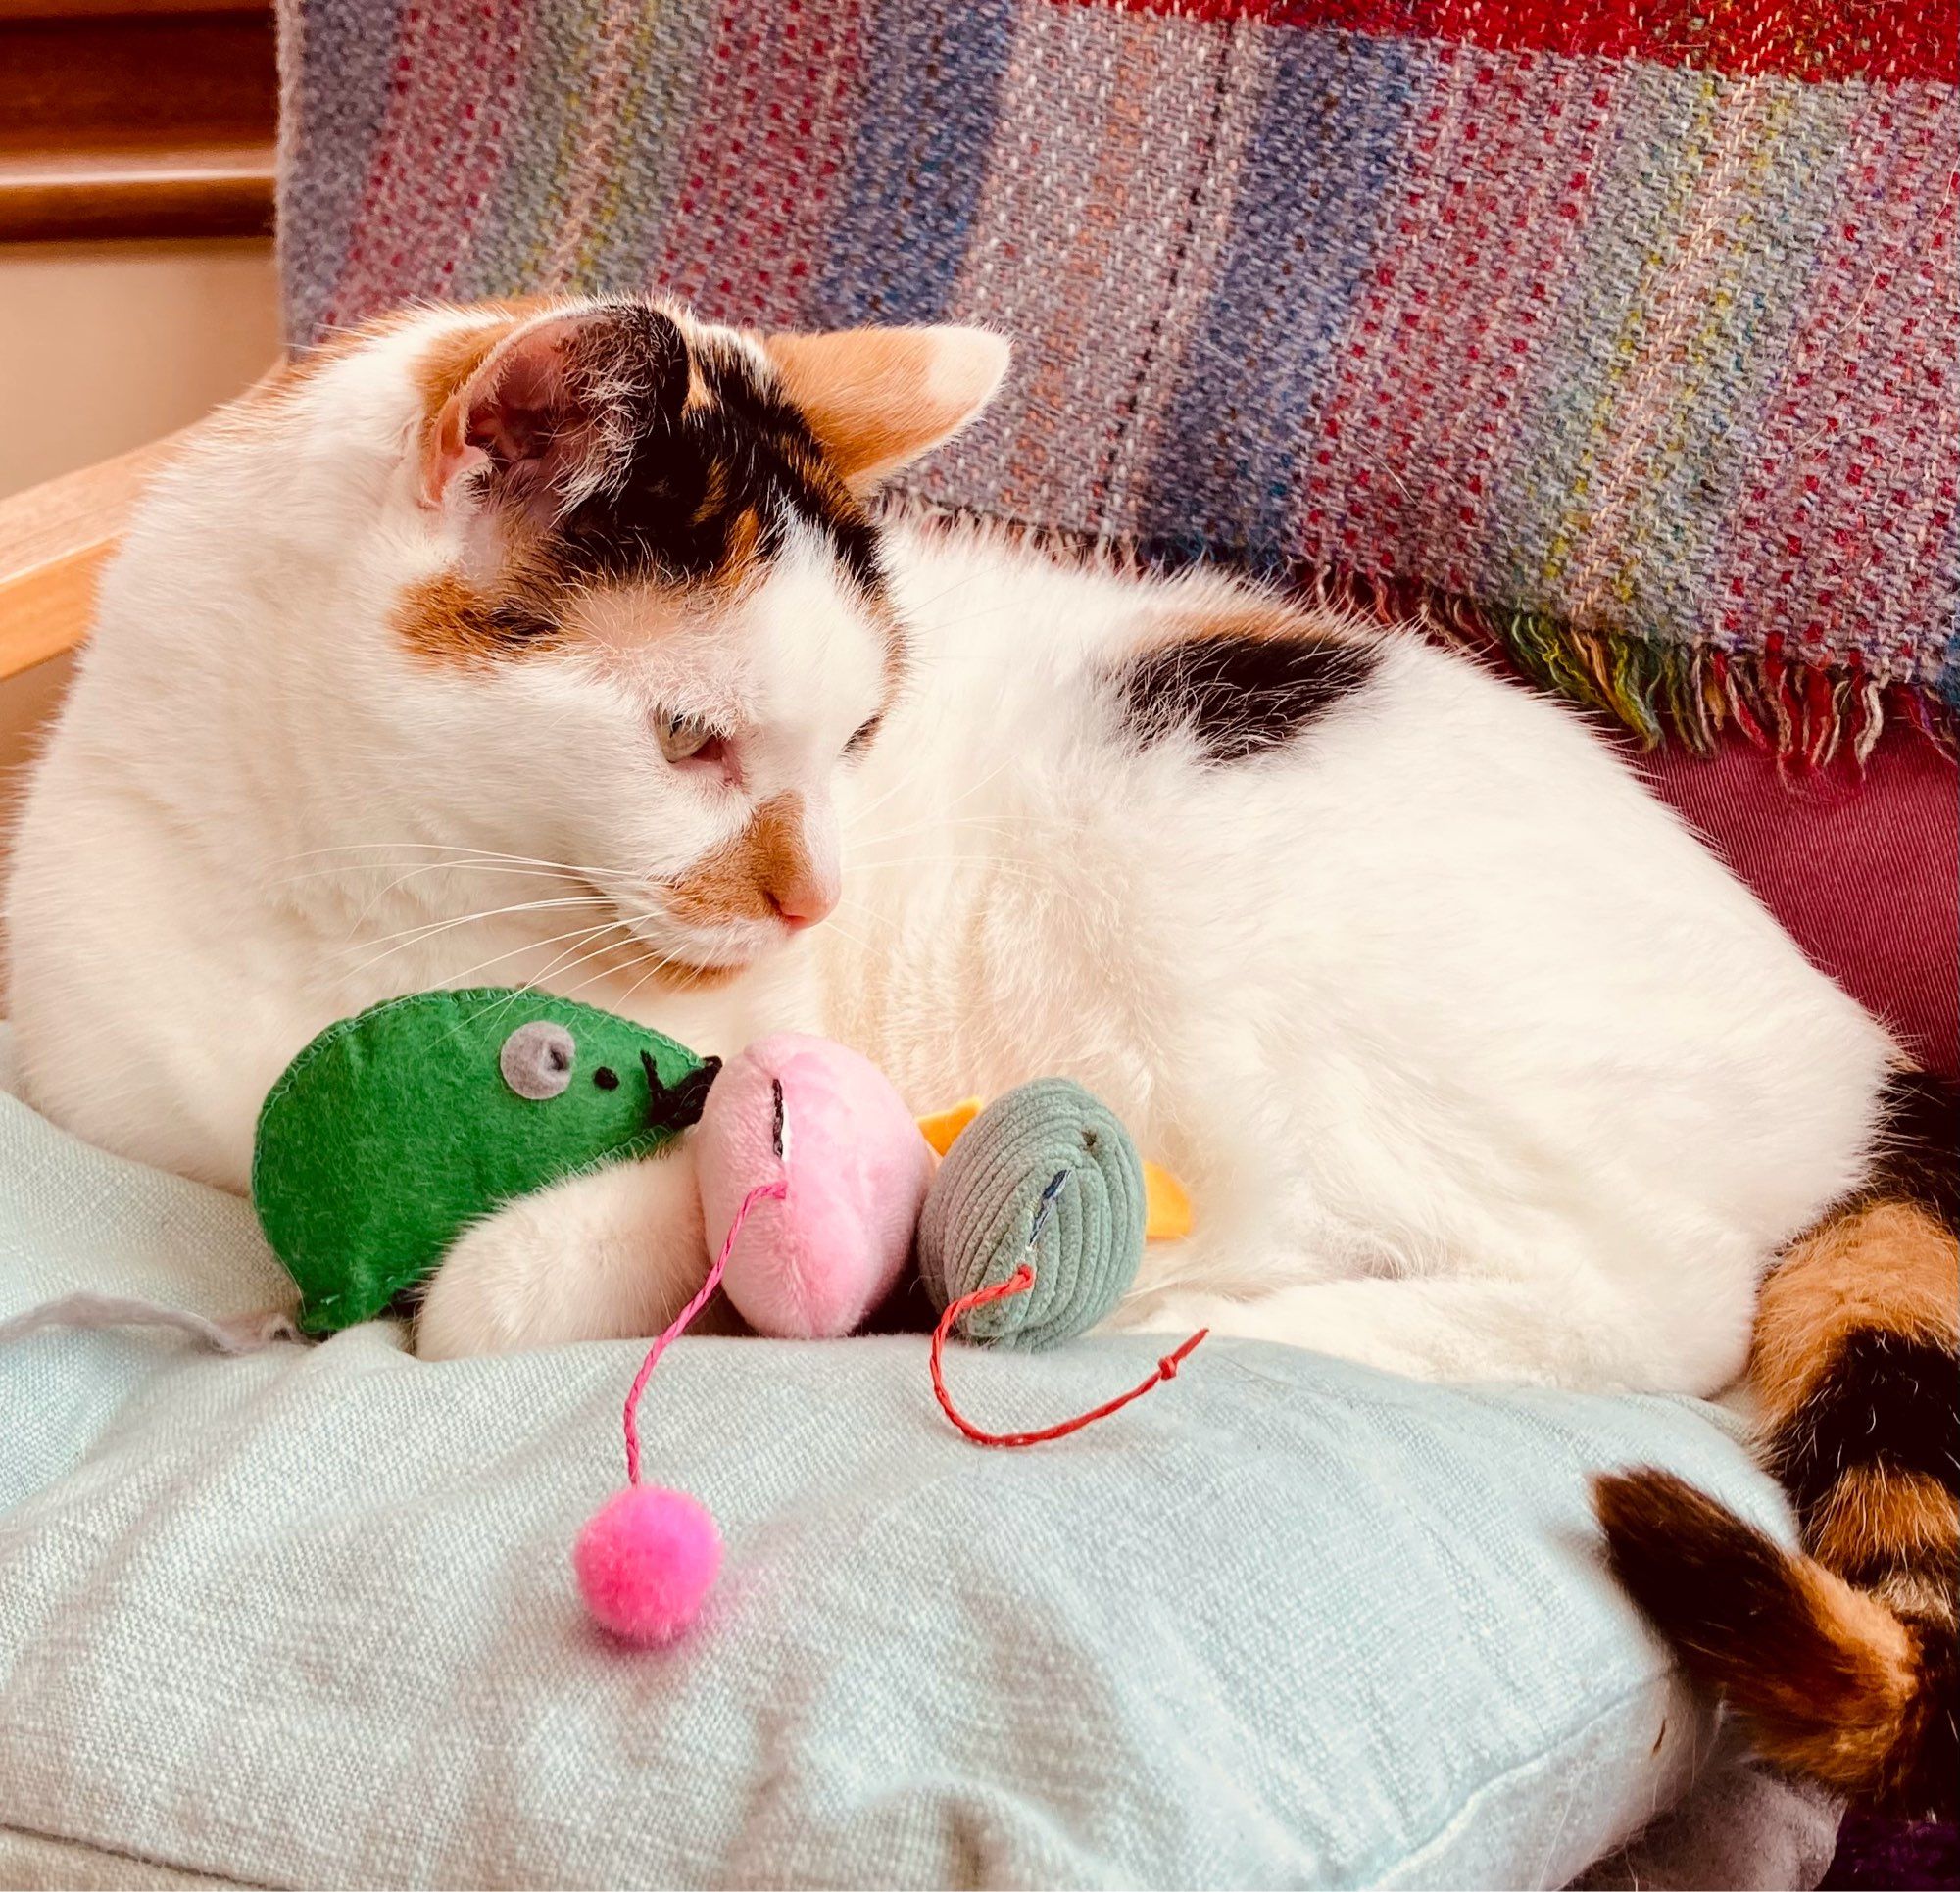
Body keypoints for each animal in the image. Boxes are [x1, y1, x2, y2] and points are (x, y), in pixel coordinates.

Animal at [7, 295, 1952, 1810]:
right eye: (693, 741)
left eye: (862, 734)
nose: (818, 895)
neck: (380, 901)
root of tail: (1863, 1053)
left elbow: (552, 1268)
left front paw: (512, 1265)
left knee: (1651, 1297)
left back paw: (1202, 1309)